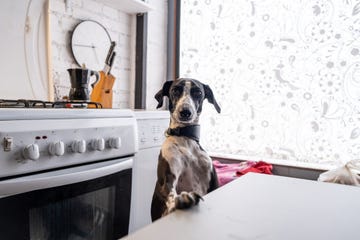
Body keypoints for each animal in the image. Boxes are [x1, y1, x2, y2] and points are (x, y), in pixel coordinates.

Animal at [150, 77, 221, 221]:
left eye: (198, 92)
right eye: (175, 90)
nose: (185, 112)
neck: (185, 138)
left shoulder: (214, 183)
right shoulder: (168, 178)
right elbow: (170, 193)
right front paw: (183, 199)